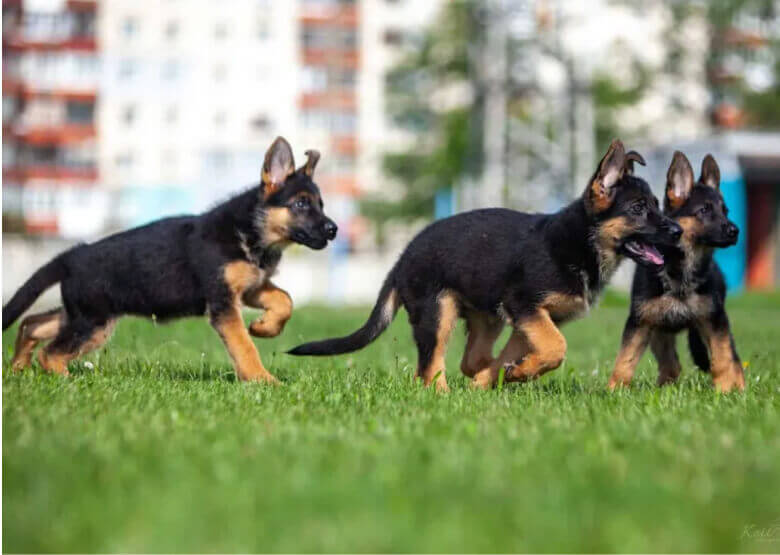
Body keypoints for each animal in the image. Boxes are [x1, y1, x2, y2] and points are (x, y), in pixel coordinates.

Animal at [3, 137, 338, 384]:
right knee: (51, 353)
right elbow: (244, 345)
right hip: (92, 321)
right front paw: (261, 380)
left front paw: (265, 327)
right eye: (301, 204)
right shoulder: (223, 304)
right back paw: (67, 381)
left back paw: (19, 368)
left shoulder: (250, 287)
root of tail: (72, 256)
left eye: (321, 205)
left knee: (31, 324)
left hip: (84, 314)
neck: (250, 232)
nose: (333, 229)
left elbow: (285, 300)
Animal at [288, 139, 684, 390]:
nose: (678, 231)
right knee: (428, 370)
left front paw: (504, 375)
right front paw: (515, 374)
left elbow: (531, 350)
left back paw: (482, 376)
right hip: (437, 314)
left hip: (486, 317)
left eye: (657, 205)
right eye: (638, 209)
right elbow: (556, 349)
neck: (581, 242)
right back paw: (444, 395)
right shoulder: (525, 306)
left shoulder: (532, 319)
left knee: (469, 358)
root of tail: (401, 260)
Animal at [608, 152, 748, 394]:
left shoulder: (714, 320)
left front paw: (724, 391)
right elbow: (625, 359)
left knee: (733, 357)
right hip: (659, 333)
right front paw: (614, 390)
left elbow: (722, 359)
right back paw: (664, 388)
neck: (681, 274)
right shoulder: (641, 322)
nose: (735, 231)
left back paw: (739, 387)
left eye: (725, 211)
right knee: (671, 364)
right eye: (704, 210)